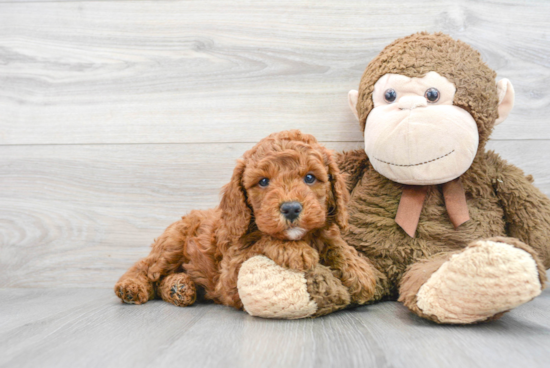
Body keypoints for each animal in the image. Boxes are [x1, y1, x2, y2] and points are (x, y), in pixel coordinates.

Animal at [114, 129, 378, 310]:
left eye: (310, 178)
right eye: (263, 181)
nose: (291, 209)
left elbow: (334, 242)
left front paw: (359, 270)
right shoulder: (230, 276)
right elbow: (261, 241)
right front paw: (295, 251)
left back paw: (178, 287)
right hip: (172, 244)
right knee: (146, 267)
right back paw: (131, 287)